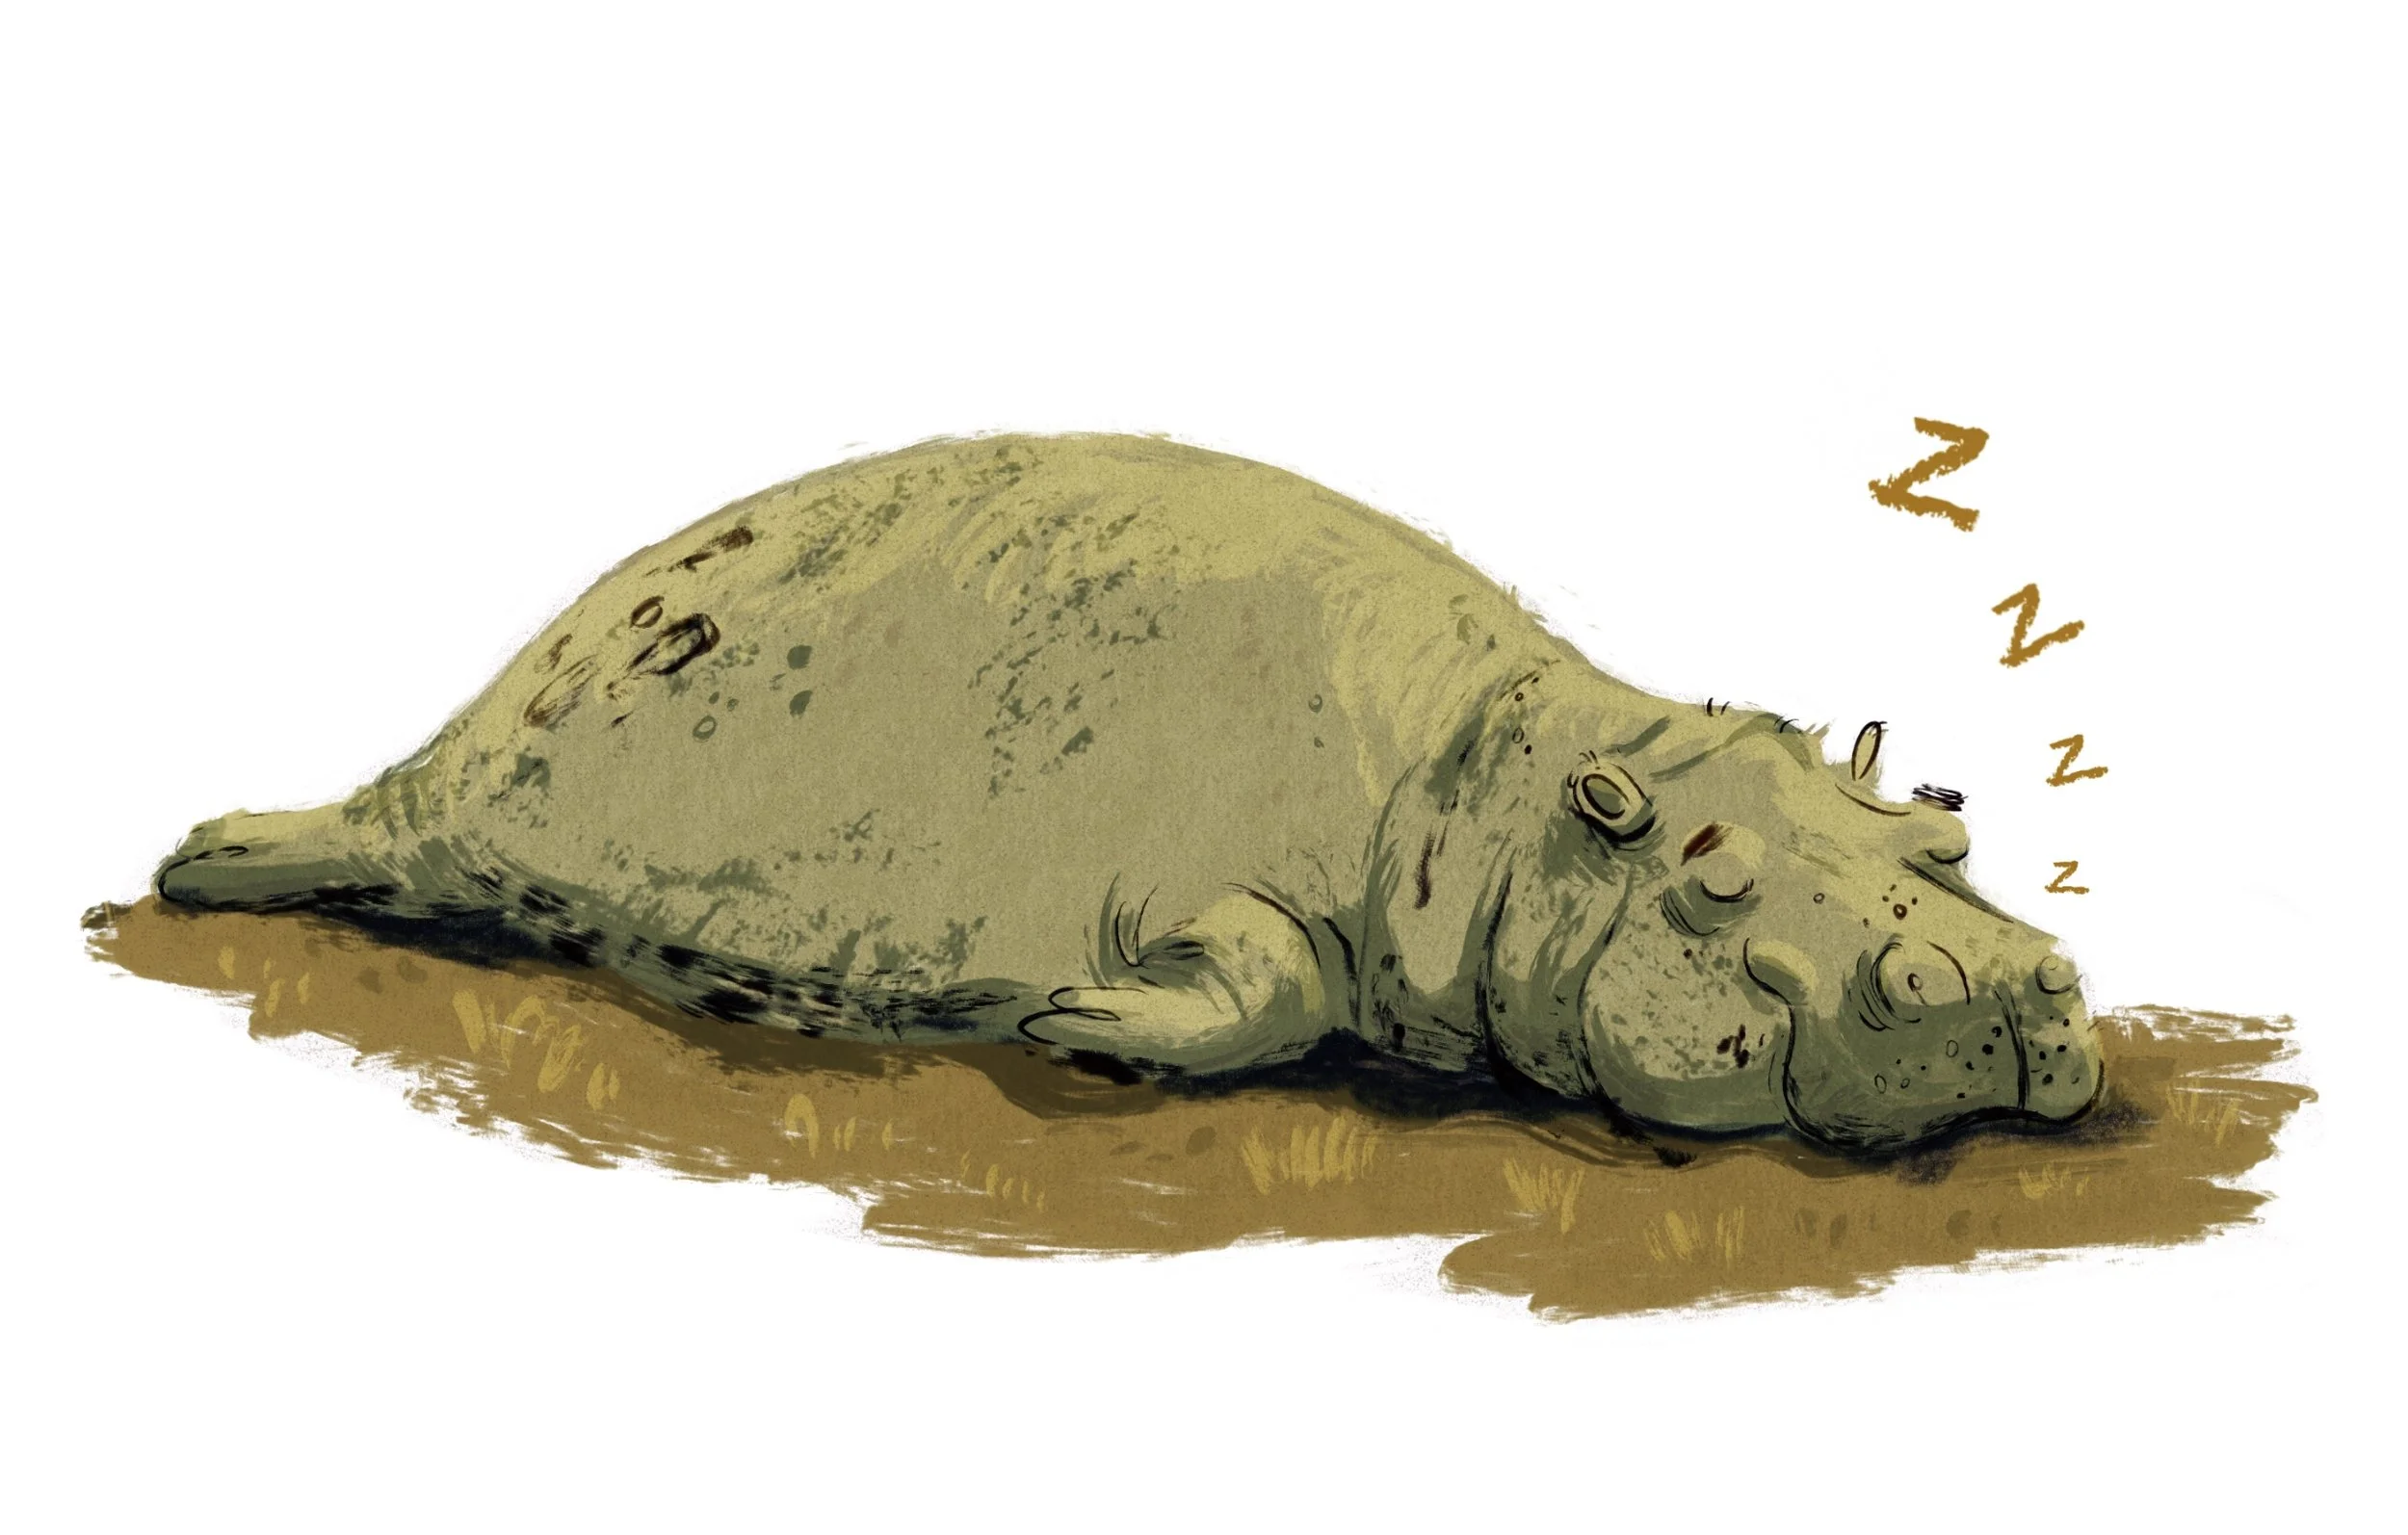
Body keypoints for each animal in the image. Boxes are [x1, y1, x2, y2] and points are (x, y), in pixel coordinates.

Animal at [154, 433, 2101, 1151]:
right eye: (1713, 881)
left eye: (1948, 820)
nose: (2008, 984)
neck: (1527, 786)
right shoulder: (1241, 900)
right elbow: (1262, 970)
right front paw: (1072, 1015)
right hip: (443, 802)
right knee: (365, 830)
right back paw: (206, 859)